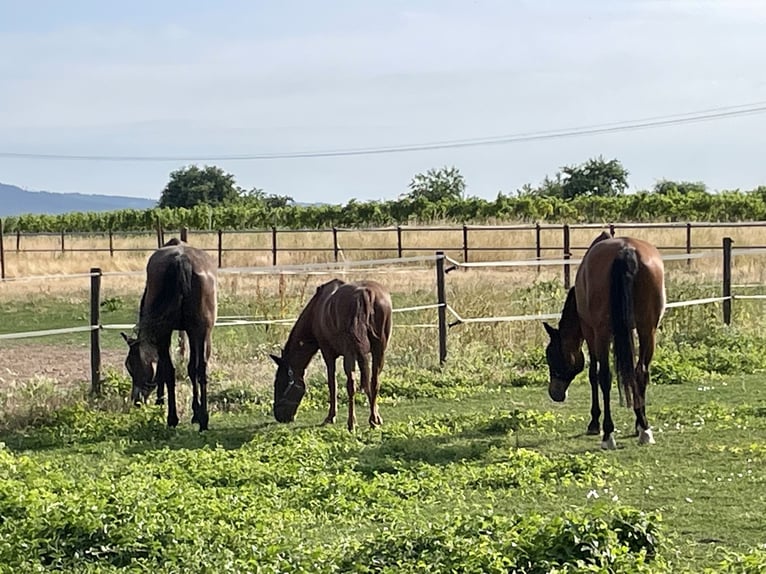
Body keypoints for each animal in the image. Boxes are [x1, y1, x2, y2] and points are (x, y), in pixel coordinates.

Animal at [121, 240, 219, 432]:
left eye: (131, 365)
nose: (136, 401)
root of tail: (181, 259)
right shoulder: (192, 333)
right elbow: (191, 369)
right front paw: (196, 412)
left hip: (175, 332)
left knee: (173, 370)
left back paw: (176, 417)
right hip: (201, 331)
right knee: (198, 369)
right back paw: (200, 419)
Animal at [272, 280, 392, 432]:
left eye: (279, 383)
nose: (278, 416)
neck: (316, 311)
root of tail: (365, 294)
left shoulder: (328, 354)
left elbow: (332, 383)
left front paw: (331, 417)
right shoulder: (362, 355)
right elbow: (367, 384)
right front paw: (376, 418)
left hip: (350, 353)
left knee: (351, 384)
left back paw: (351, 423)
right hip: (379, 351)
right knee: (375, 381)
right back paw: (371, 420)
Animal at [544, 233, 664, 450]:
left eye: (551, 356)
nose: (555, 393)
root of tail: (626, 250)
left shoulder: (590, 333)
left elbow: (593, 374)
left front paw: (594, 423)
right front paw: (638, 422)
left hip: (602, 333)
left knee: (605, 377)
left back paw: (608, 434)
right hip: (647, 329)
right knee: (641, 372)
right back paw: (644, 429)